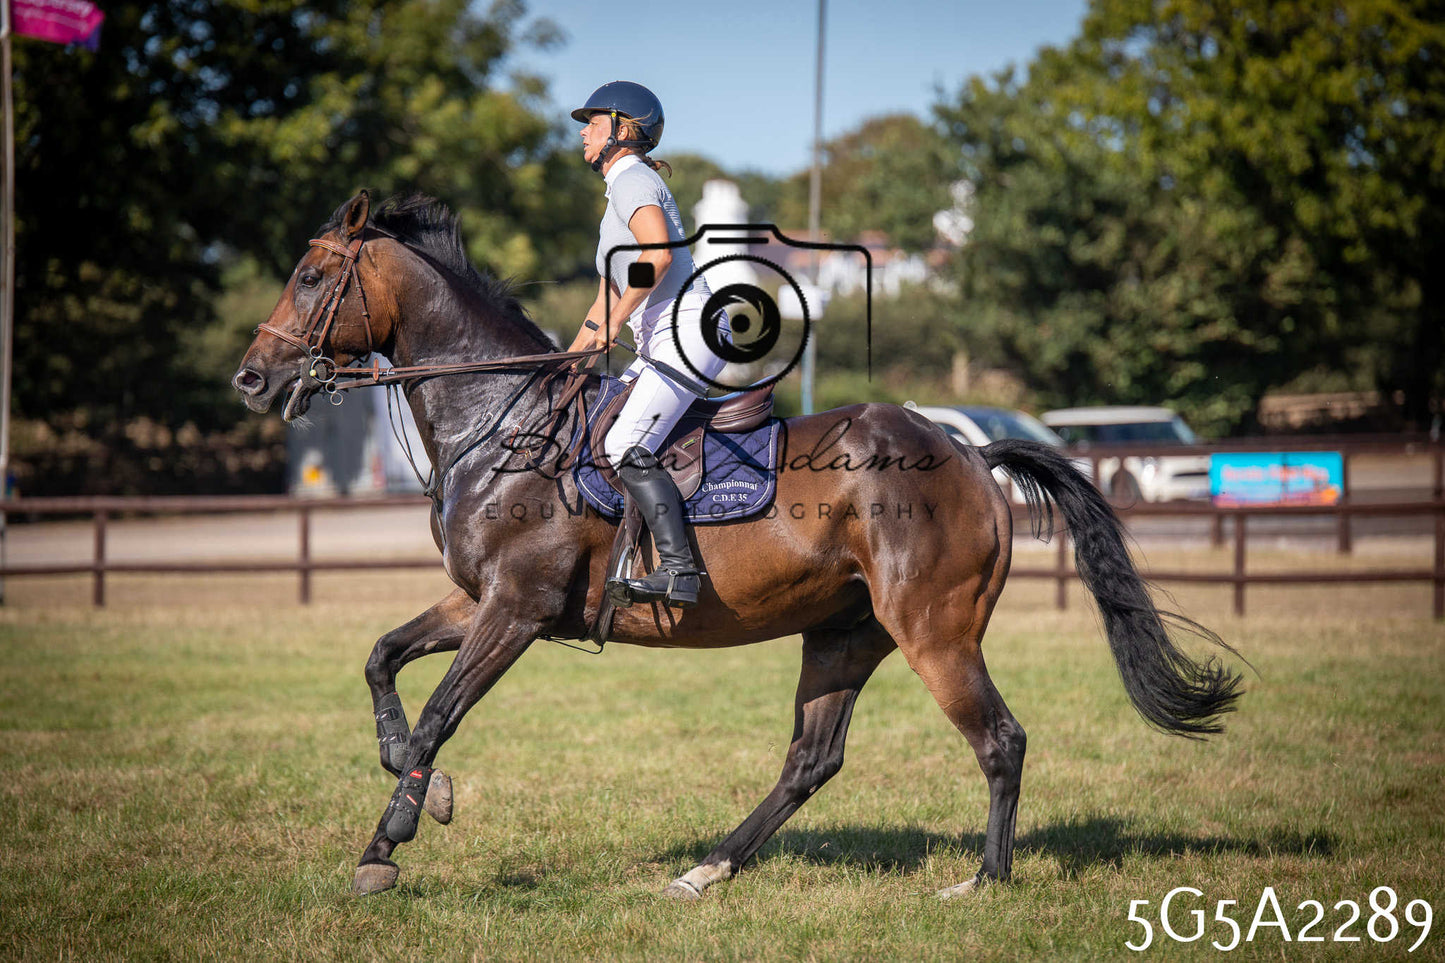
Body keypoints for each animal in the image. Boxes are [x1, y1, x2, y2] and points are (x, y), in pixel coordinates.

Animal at [232, 191, 1243, 899]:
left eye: (313, 277)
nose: (251, 378)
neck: (502, 417)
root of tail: (965, 449)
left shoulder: (515, 608)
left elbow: (440, 711)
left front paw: (383, 847)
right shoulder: (481, 599)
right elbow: (381, 659)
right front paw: (422, 788)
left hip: (932, 629)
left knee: (999, 739)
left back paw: (982, 882)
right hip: (843, 633)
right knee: (811, 759)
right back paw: (707, 869)